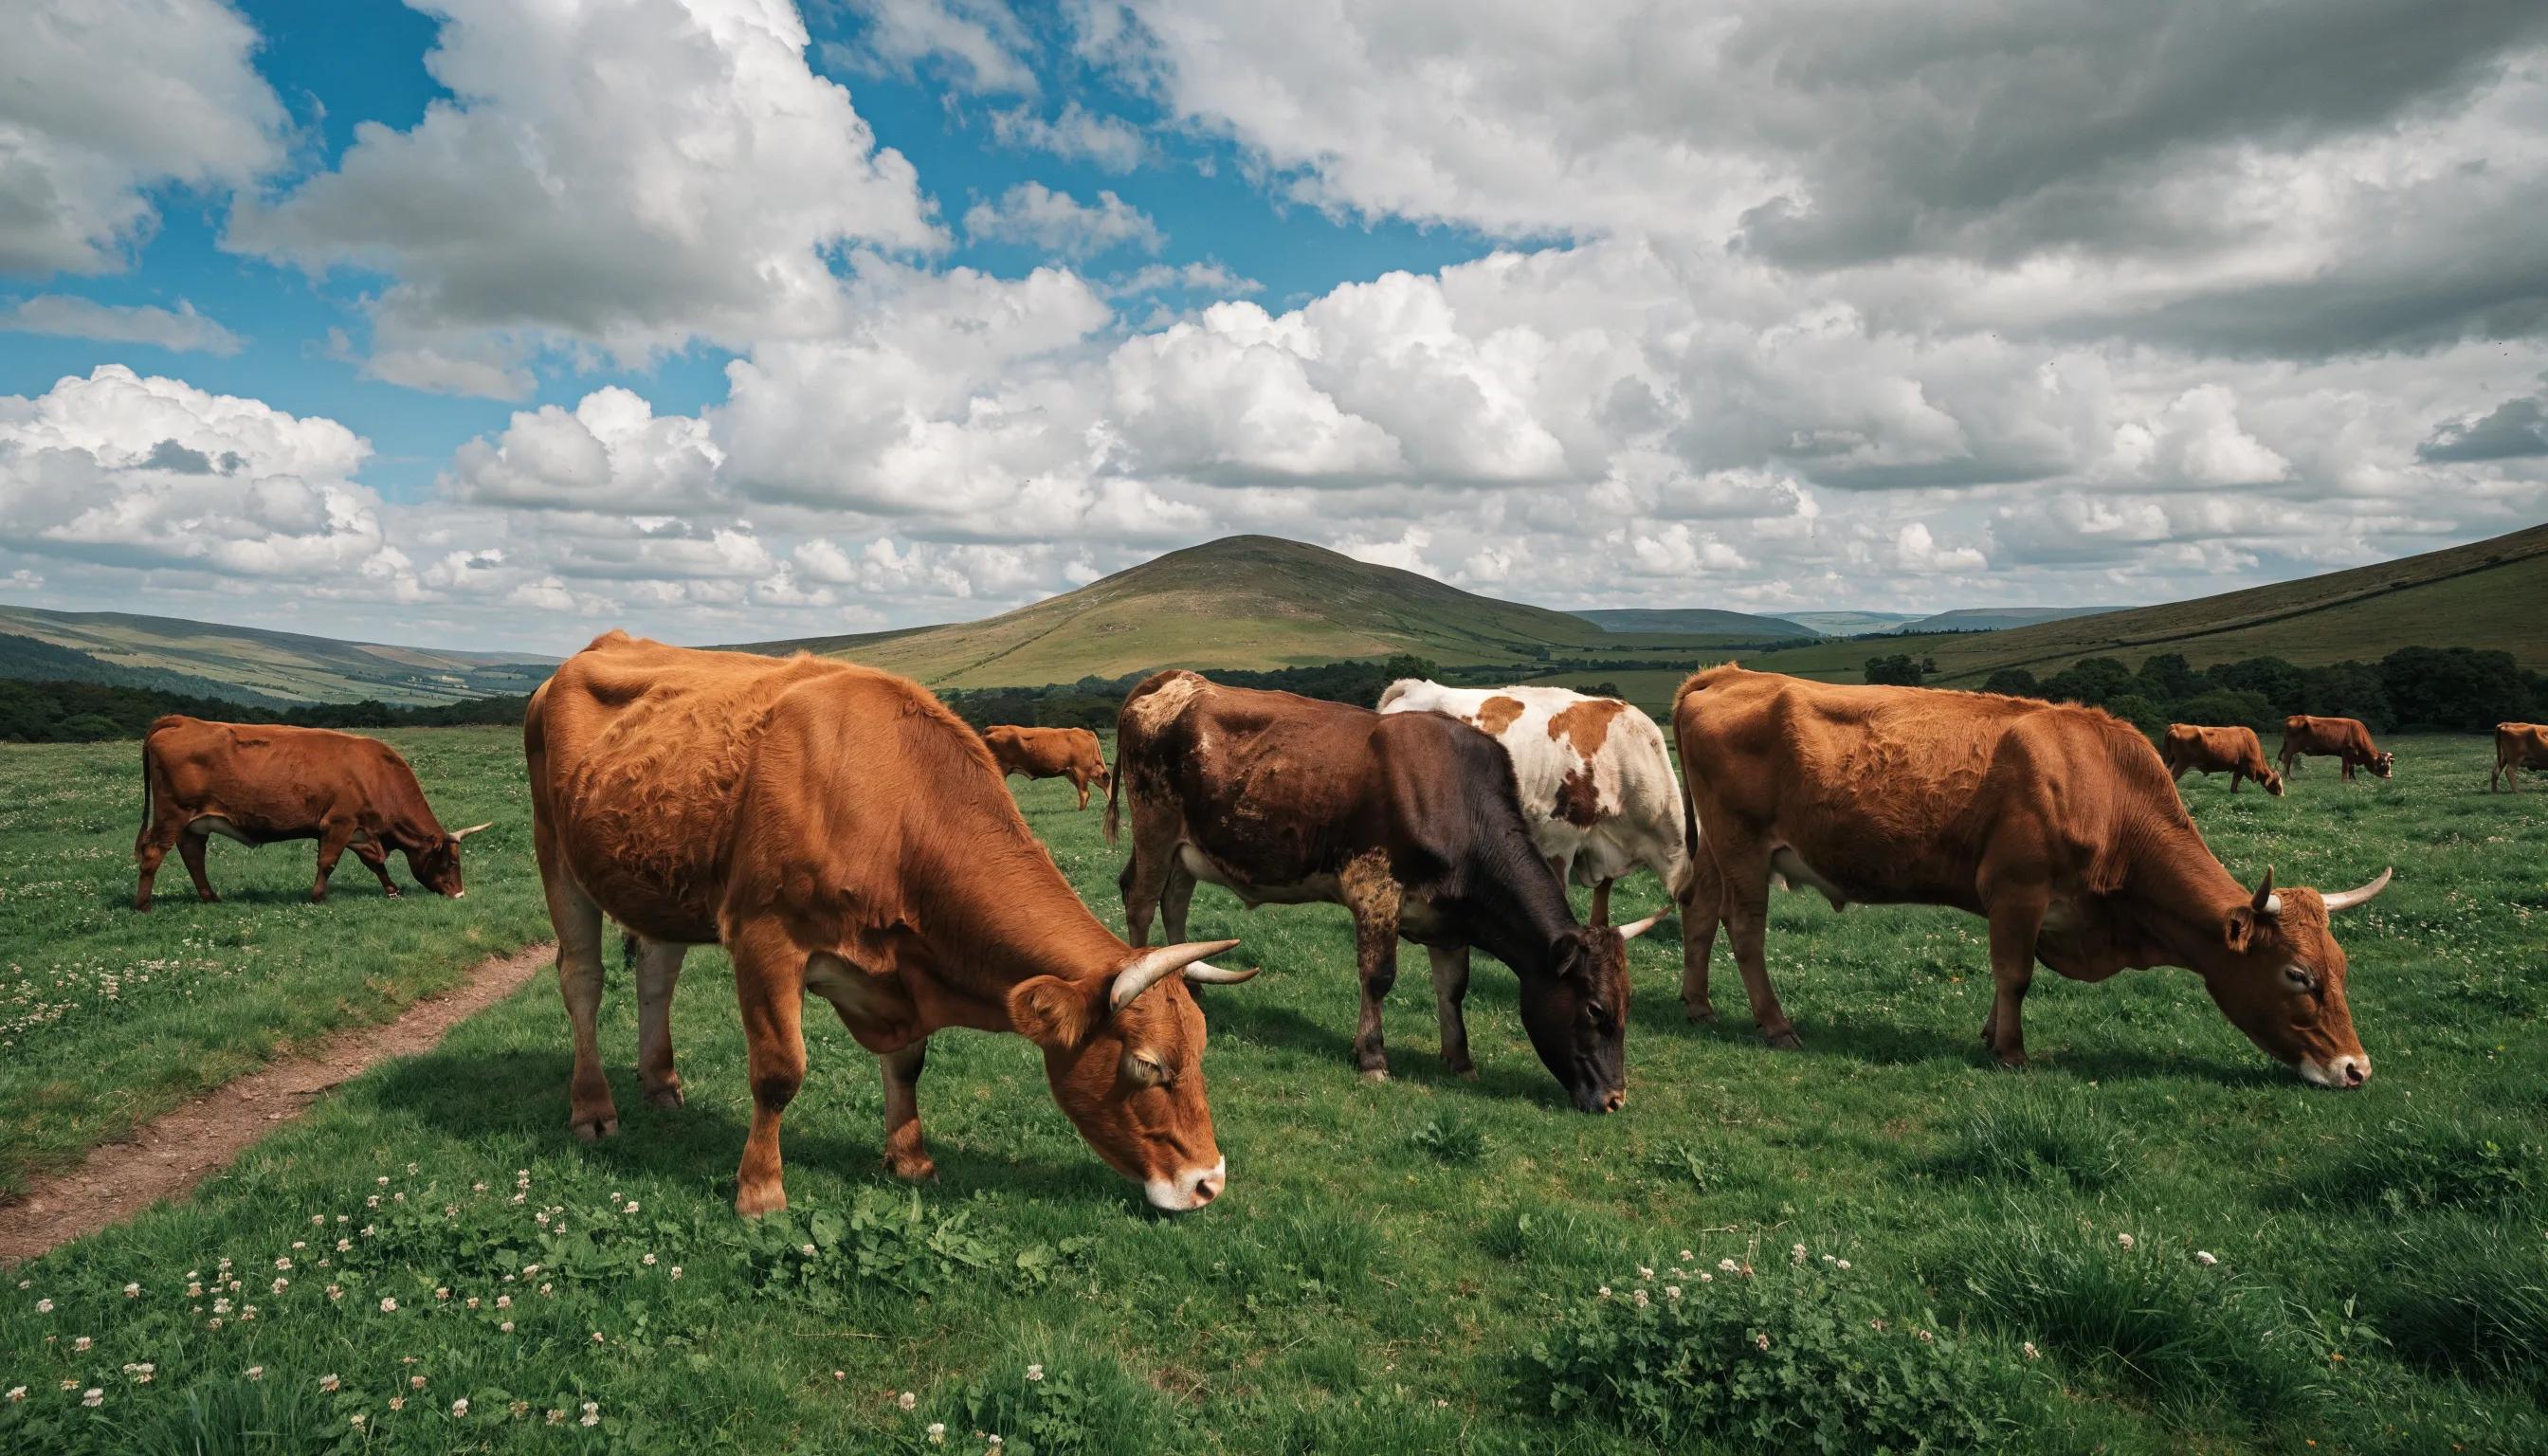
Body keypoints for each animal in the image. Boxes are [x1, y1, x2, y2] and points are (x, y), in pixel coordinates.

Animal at [134, 716, 489, 910]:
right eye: (452, 862)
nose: (459, 894)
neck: (376, 772)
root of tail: (182, 721)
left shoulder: (359, 831)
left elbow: (375, 863)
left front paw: (392, 890)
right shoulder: (338, 823)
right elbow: (327, 862)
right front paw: (317, 896)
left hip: (195, 824)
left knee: (193, 856)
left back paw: (210, 898)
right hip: (171, 816)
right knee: (153, 854)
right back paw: (144, 905)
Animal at [983, 724, 1112, 809]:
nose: (1111, 800)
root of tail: (995, 728)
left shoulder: (1072, 773)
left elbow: (1083, 792)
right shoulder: (1079, 771)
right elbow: (1084, 793)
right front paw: (1081, 810)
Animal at [2160, 723, 2284, 797]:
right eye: (2275, 782)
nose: (2281, 795)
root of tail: (2176, 725)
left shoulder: (2238, 767)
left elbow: (2235, 781)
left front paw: (2234, 792)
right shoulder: (2244, 766)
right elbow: (2237, 779)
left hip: (2172, 761)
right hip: (2181, 763)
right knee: (2171, 777)